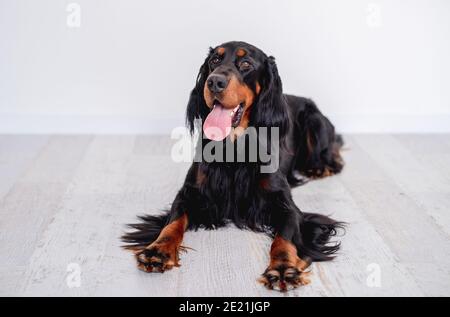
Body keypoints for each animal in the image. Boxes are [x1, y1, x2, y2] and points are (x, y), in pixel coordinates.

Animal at [123, 40, 344, 290]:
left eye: (246, 63)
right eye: (214, 60)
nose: (214, 82)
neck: (234, 144)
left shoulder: (285, 204)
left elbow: (285, 235)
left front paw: (283, 267)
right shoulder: (191, 192)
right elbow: (173, 222)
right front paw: (158, 250)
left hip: (314, 120)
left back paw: (320, 167)